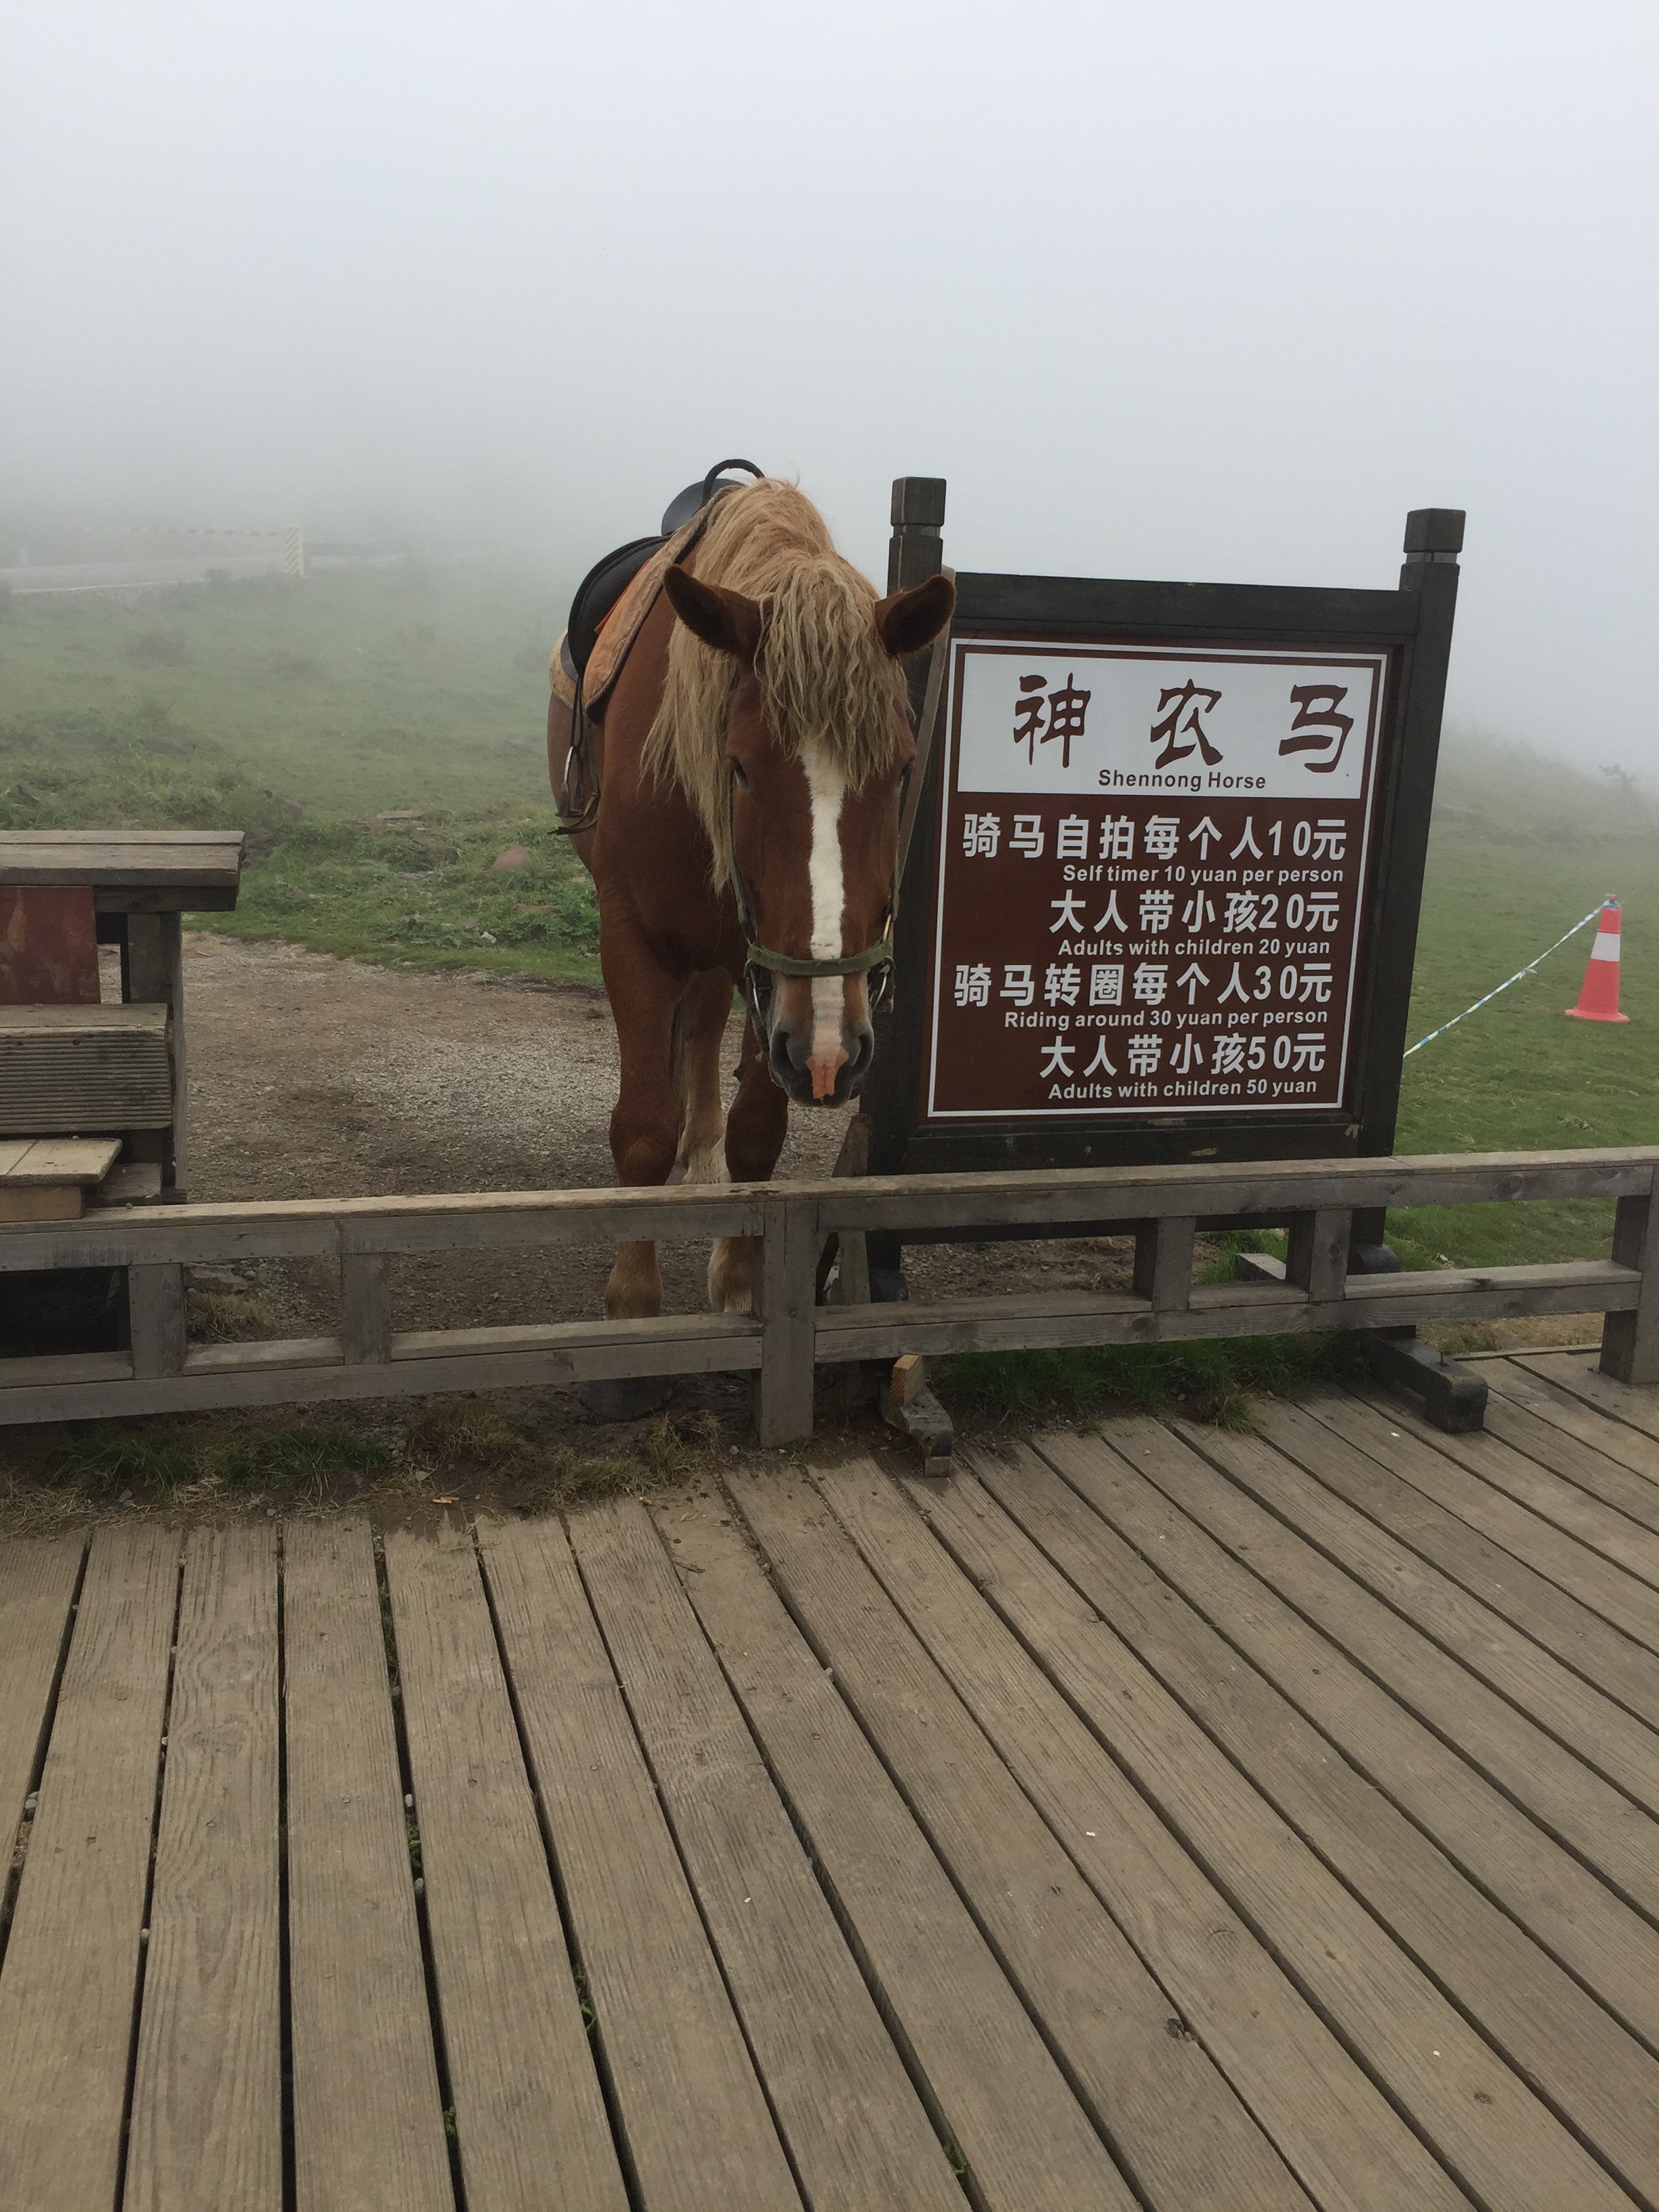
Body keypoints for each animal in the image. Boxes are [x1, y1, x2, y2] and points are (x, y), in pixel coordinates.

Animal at [553, 471, 956, 1345]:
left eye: (903, 767)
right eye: (738, 767)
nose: (837, 1051)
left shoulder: (775, 982)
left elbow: (756, 1133)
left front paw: (740, 1279)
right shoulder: (633, 938)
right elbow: (642, 1129)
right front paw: (632, 1301)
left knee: (708, 1039)